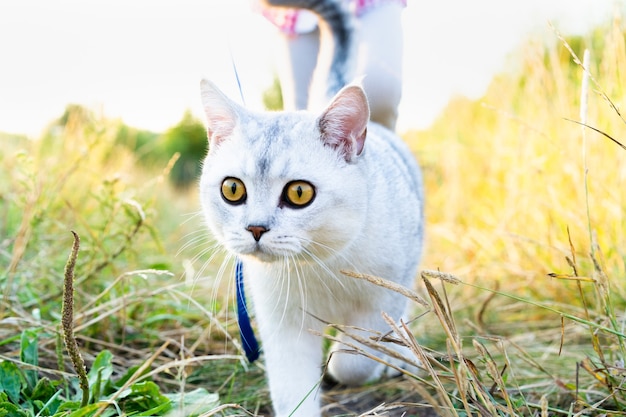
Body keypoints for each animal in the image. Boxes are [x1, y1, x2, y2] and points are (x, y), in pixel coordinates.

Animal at [199, 0, 424, 414]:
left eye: (299, 193)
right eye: (232, 189)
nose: (256, 228)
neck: (317, 266)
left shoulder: (381, 300)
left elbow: (354, 359)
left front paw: (348, 361)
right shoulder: (282, 325)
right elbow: (293, 390)